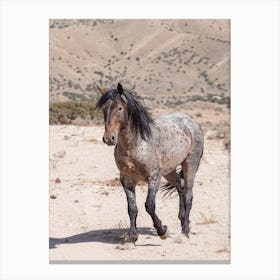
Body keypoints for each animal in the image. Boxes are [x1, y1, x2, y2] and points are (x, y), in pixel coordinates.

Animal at [95, 83, 203, 243]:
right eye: (103, 108)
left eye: (119, 108)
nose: (109, 138)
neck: (136, 144)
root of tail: (191, 122)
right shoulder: (126, 180)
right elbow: (132, 208)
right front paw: (132, 237)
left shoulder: (154, 177)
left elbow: (149, 205)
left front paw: (162, 230)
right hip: (169, 171)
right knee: (181, 186)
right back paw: (183, 220)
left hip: (190, 164)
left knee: (189, 195)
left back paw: (184, 232)